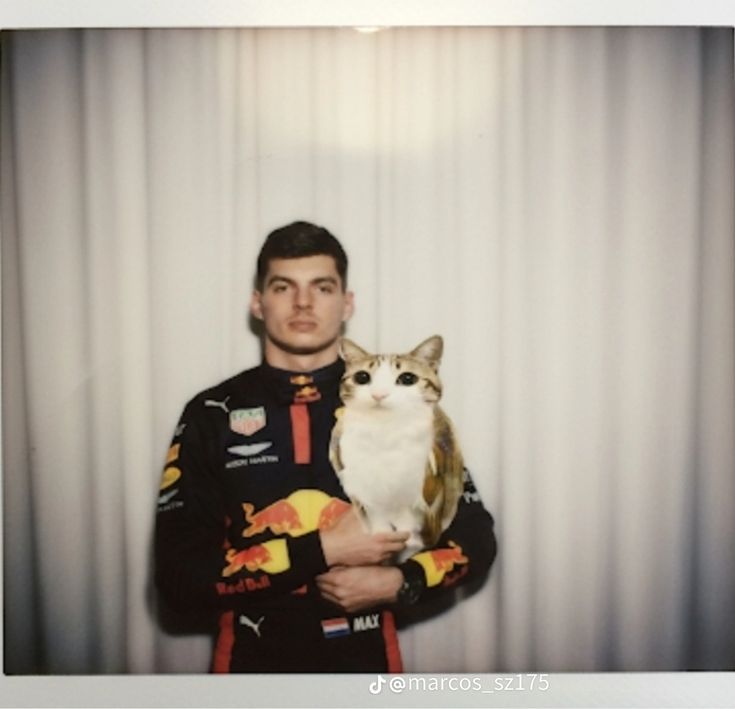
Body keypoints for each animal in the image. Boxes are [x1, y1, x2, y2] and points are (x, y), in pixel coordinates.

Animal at [329, 335, 465, 561]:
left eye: (407, 378)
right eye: (362, 377)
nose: (379, 394)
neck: (384, 429)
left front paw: (407, 536)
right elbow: (373, 506)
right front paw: (380, 532)